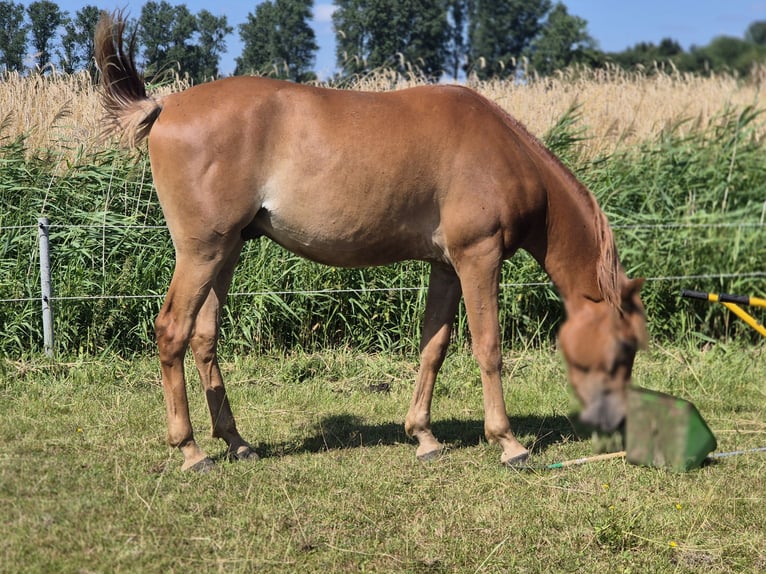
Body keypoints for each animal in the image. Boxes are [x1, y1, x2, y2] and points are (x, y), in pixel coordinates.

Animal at [95, 12, 647, 472]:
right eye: (623, 347)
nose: (619, 424)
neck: (506, 151)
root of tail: (165, 106)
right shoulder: (478, 258)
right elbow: (488, 346)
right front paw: (508, 442)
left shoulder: (447, 266)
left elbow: (434, 345)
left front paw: (424, 436)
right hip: (202, 252)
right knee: (172, 331)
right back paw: (191, 450)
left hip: (227, 250)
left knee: (204, 336)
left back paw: (236, 441)